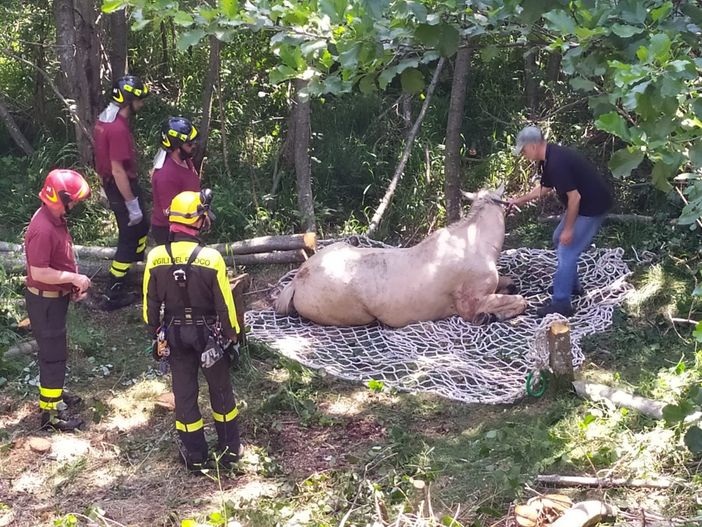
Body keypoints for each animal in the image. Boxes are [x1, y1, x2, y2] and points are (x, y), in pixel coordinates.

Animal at [274, 185, 527, 327]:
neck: (474, 242)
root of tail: (297, 280)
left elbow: (512, 284)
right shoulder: (471, 303)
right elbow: (519, 301)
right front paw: (489, 316)